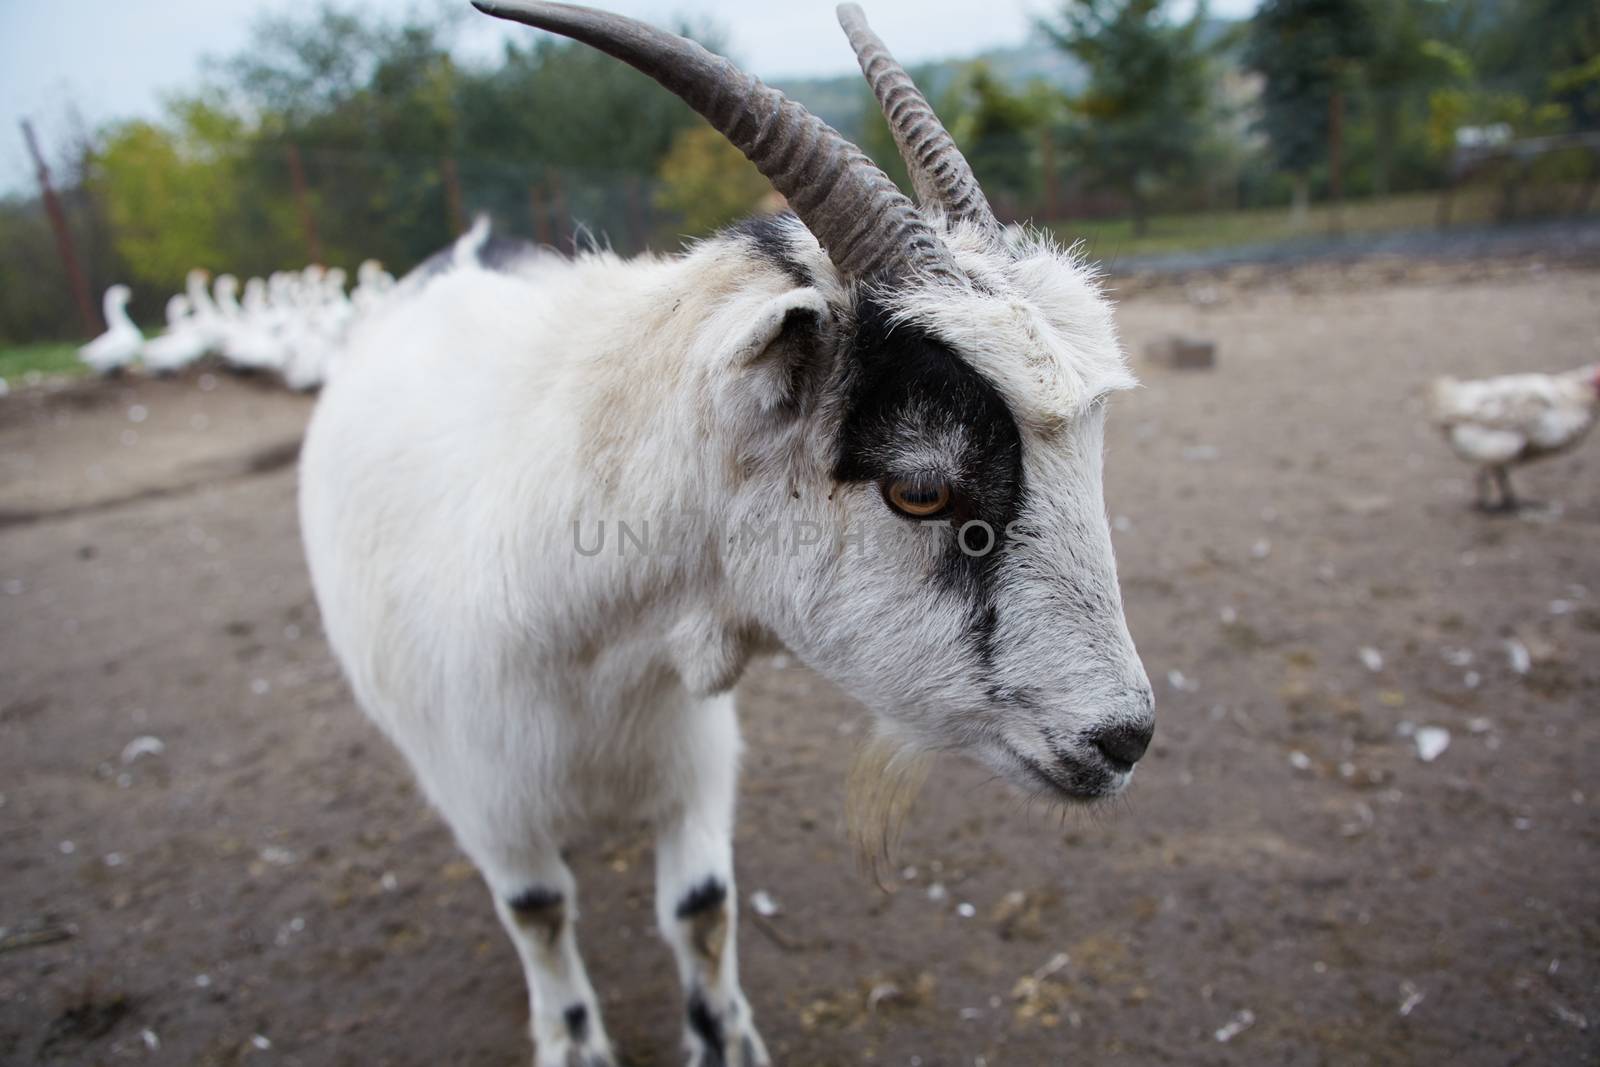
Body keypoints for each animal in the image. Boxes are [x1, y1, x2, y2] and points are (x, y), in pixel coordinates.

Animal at [297, 4, 1152, 1062]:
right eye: (921, 488)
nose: (1126, 736)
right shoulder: (480, 792)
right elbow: (538, 910)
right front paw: (572, 1040)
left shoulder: (694, 750)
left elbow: (701, 906)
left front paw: (725, 1038)